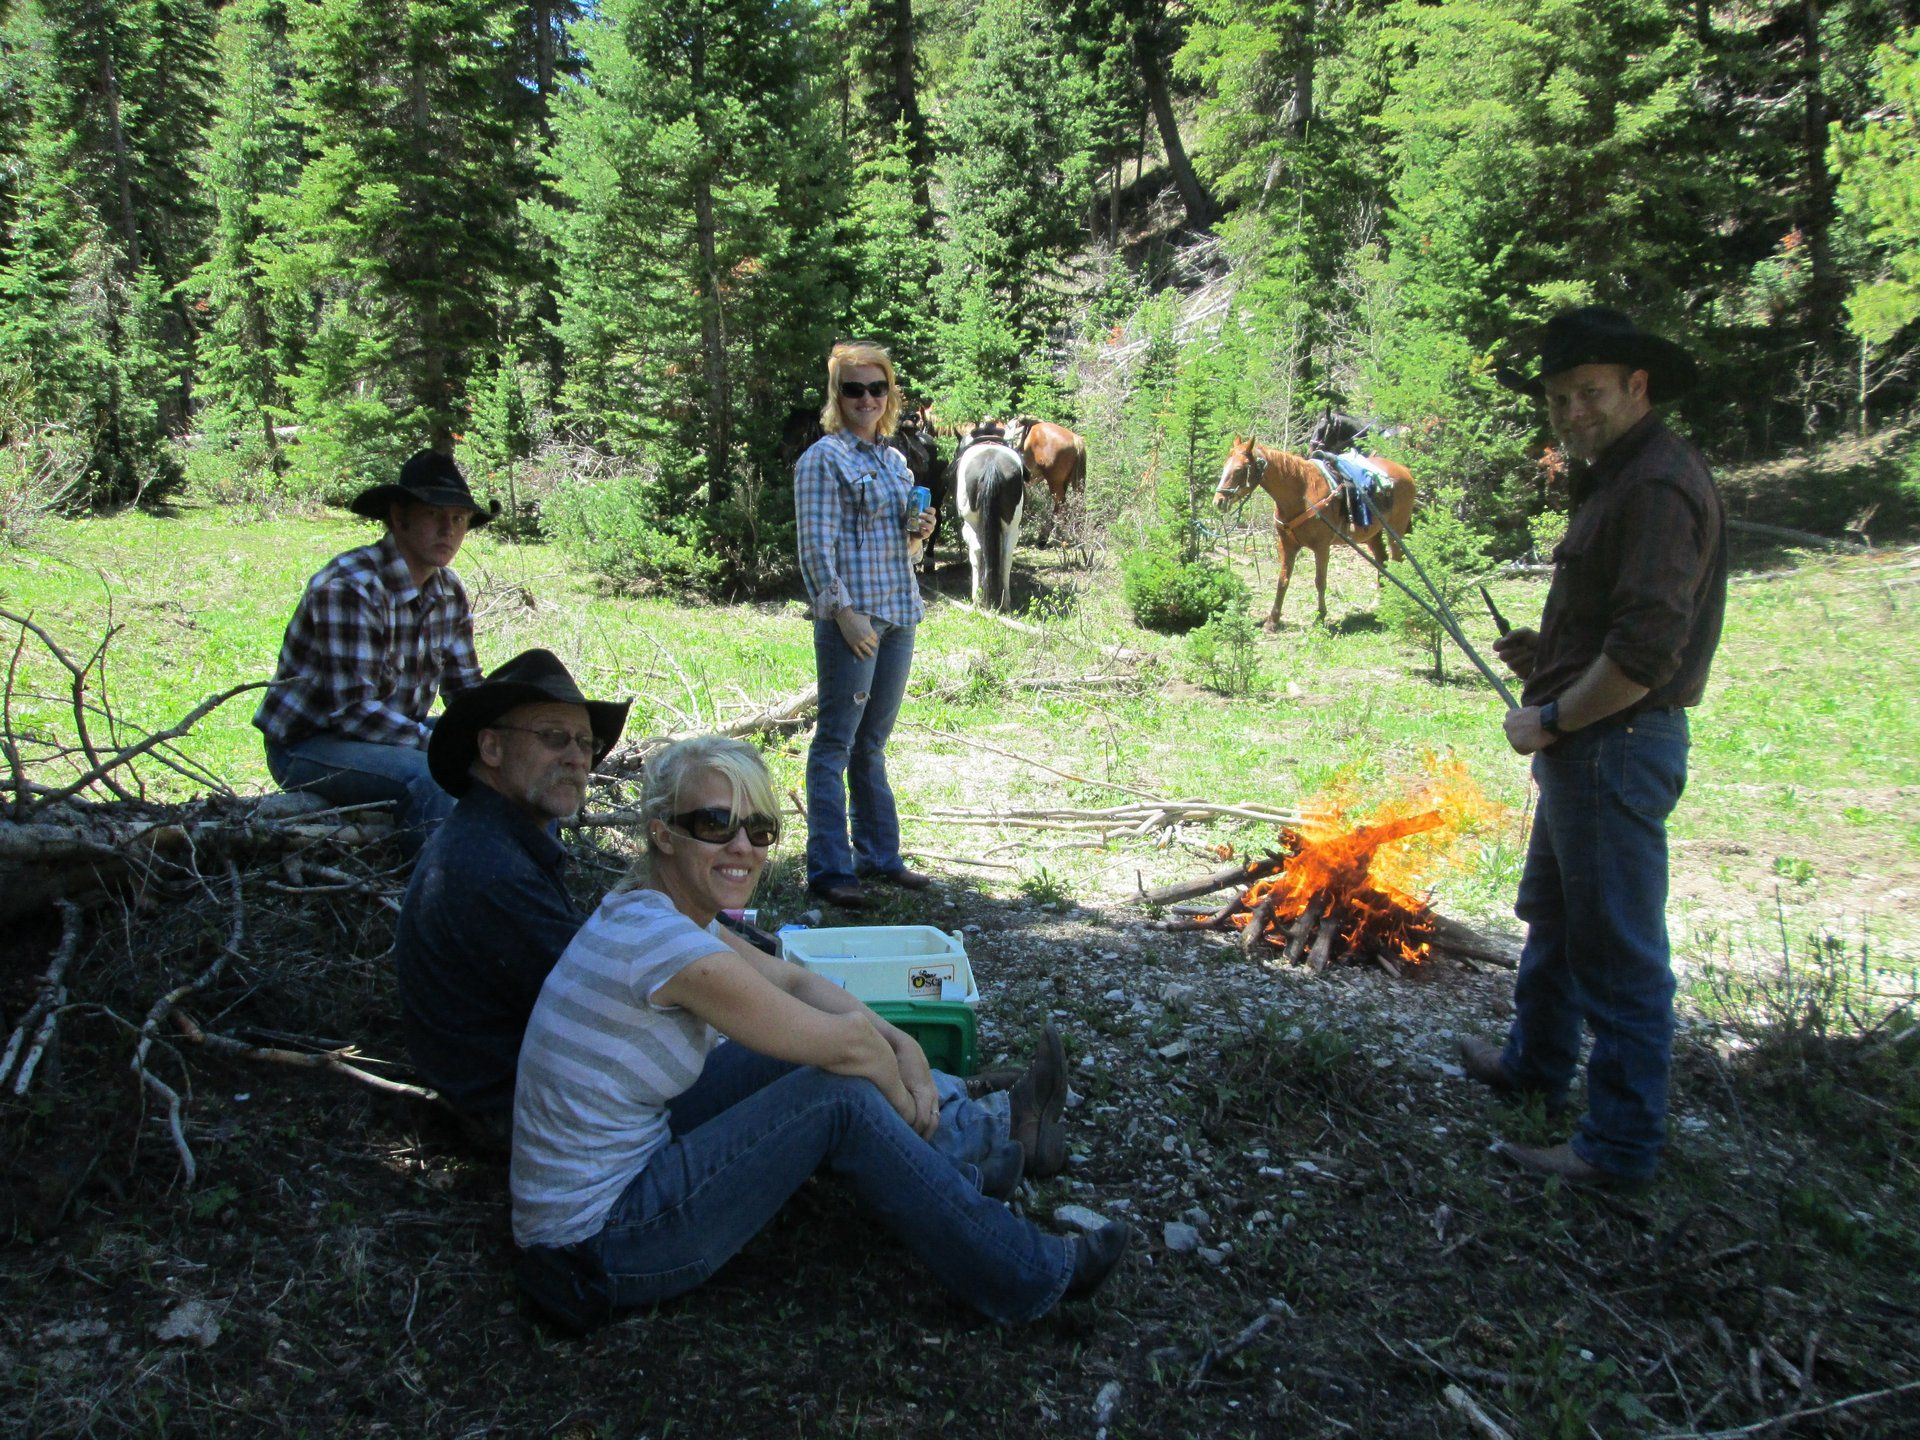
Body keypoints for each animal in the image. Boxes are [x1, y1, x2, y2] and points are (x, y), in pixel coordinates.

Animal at [1205, 432, 1420, 629]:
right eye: (1225, 466)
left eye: (1240, 470)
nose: (1218, 501)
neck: (1302, 493)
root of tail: (1405, 471)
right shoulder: (1287, 545)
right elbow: (1283, 580)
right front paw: (1272, 621)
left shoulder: (1322, 547)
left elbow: (1320, 581)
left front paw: (1321, 617)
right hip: (1372, 534)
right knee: (1382, 561)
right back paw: (1378, 601)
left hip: (1395, 532)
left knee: (1397, 561)